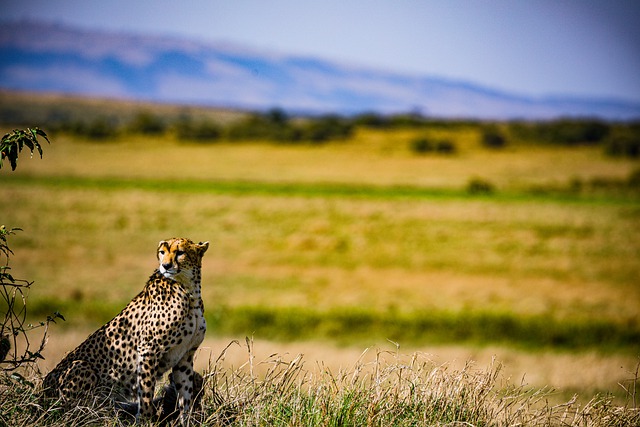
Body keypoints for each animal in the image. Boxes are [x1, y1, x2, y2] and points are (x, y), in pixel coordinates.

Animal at [42, 239, 208, 422]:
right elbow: (146, 391)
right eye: (162, 252)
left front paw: (187, 420)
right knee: (72, 412)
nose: (165, 266)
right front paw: (144, 420)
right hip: (81, 366)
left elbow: (185, 395)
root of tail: (41, 393)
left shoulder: (185, 355)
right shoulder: (149, 348)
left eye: (180, 252)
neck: (189, 291)